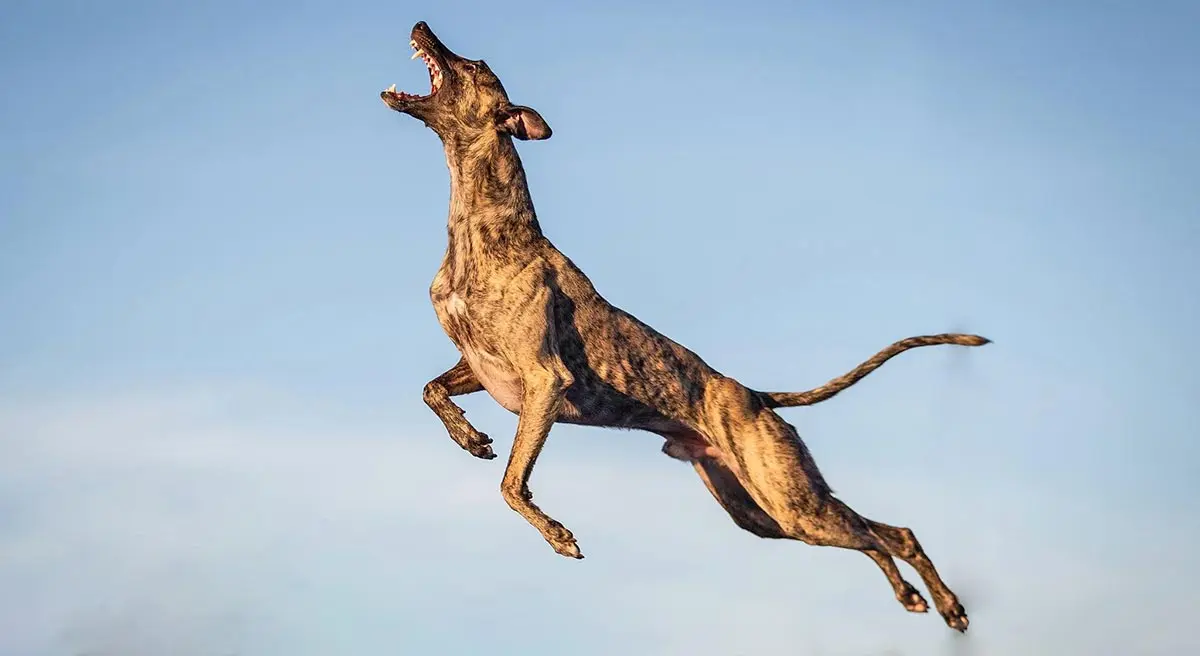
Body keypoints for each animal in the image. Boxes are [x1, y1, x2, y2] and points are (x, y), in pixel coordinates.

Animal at [381, 21, 984, 633]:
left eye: (475, 64)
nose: (422, 24)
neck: (485, 229)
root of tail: (755, 397)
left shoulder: (544, 380)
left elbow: (510, 484)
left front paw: (558, 535)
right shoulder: (479, 367)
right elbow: (432, 391)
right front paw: (471, 437)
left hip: (792, 502)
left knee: (891, 536)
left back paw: (943, 603)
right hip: (764, 514)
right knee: (876, 536)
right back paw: (919, 598)